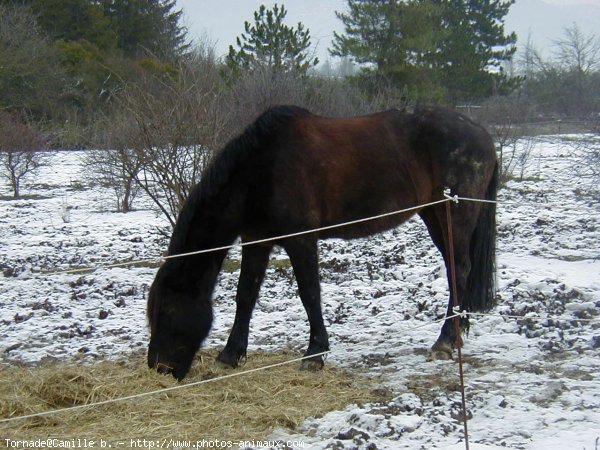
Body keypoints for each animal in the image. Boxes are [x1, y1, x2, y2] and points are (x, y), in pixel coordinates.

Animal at [149, 105, 496, 380]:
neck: (261, 170)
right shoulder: (257, 240)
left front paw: (314, 354)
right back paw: (457, 333)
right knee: (454, 269)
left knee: (459, 269)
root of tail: (482, 134)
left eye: (167, 310)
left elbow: (309, 294)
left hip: (453, 215)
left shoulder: (300, 241)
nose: (158, 368)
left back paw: (445, 342)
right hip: (434, 215)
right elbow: (245, 296)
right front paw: (230, 355)